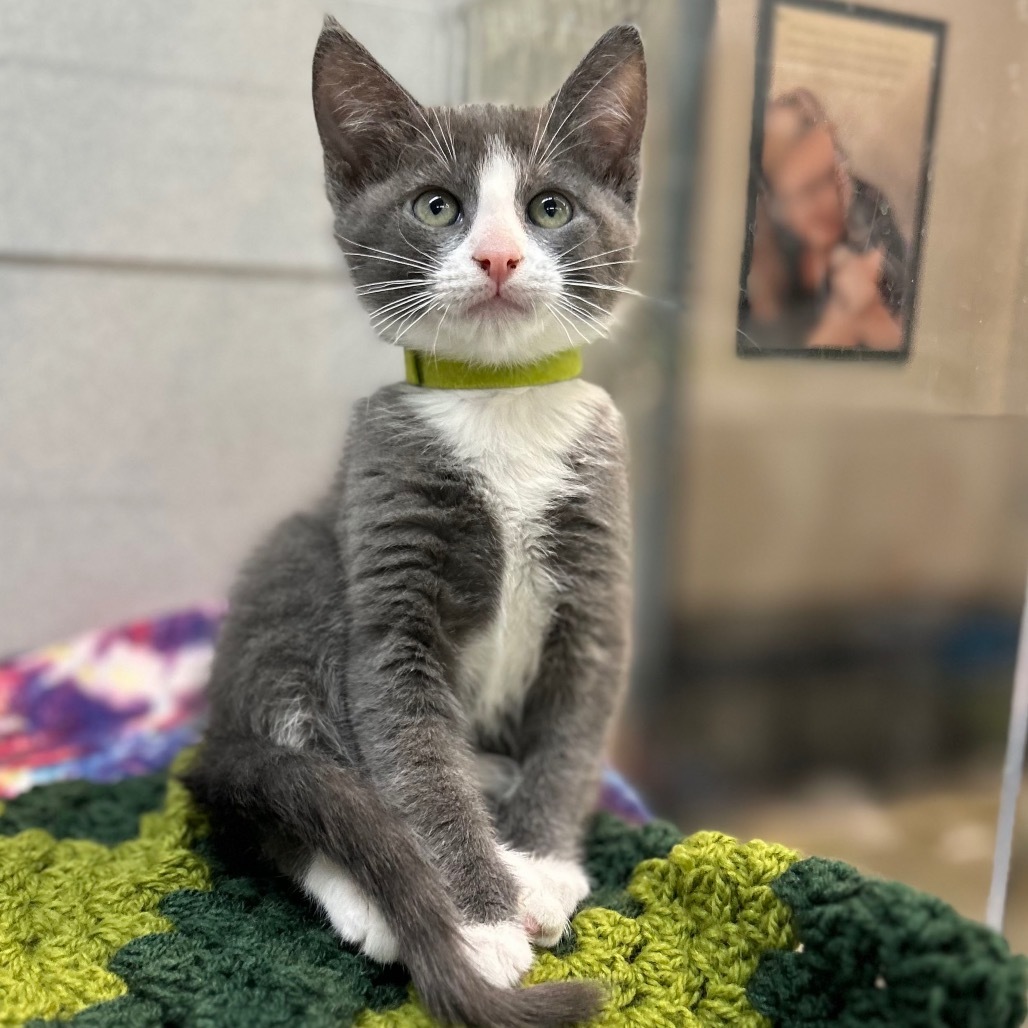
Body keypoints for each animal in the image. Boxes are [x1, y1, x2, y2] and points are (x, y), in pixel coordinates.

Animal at [187, 18, 641, 1028]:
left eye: (550, 209)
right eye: (439, 208)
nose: (500, 256)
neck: (501, 404)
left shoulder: (597, 581)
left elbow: (574, 729)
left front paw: (543, 866)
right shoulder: (388, 541)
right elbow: (412, 754)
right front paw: (478, 923)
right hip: (301, 563)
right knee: (296, 789)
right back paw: (381, 903)